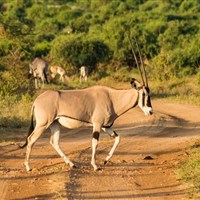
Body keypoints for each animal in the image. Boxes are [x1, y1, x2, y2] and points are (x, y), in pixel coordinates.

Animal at [21, 38, 153, 172]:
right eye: (143, 94)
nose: (150, 111)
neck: (112, 98)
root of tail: (36, 100)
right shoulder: (97, 124)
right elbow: (95, 143)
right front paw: (95, 165)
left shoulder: (106, 126)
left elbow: (117, 138)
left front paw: (106, 160)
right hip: (43, 124)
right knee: (31, 139)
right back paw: (28, 167)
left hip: (55, 124)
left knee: (54, 142)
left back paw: (71, 164)